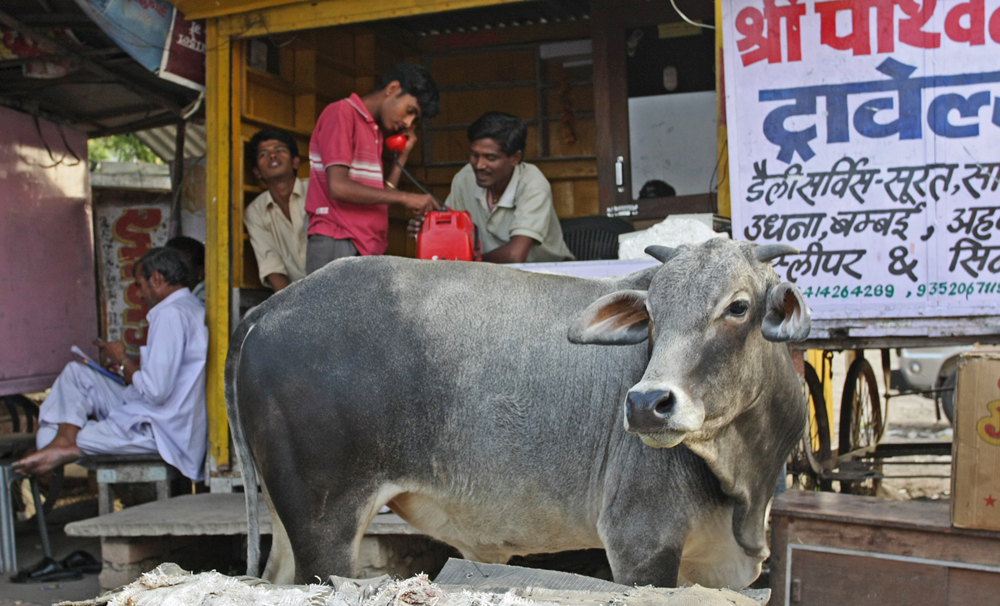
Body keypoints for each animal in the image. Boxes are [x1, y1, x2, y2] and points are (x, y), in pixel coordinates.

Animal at [229, 240, 812, 592]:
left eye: (739, 307)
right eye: (650, 314)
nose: (647, 404)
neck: (744, 479)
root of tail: (268, 309)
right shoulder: (642, 544)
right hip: (324, 525)